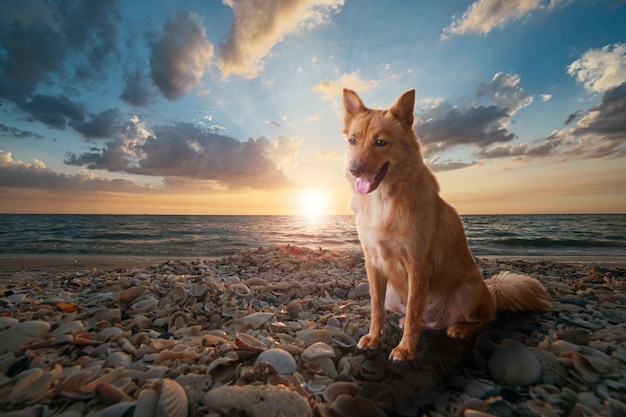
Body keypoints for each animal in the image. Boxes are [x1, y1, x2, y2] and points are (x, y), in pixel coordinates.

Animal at [342, 88, 552, 360]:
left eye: (380, 142)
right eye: (353, 141)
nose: (354, 169)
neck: (383, 200)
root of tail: (492, 293)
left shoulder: (418, 266)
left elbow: (414, 311)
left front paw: (406, 349)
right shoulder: (374, 264)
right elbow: (377, 308)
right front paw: (374, 337)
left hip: (468, 290)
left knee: (486, 318)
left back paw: (459, 328)